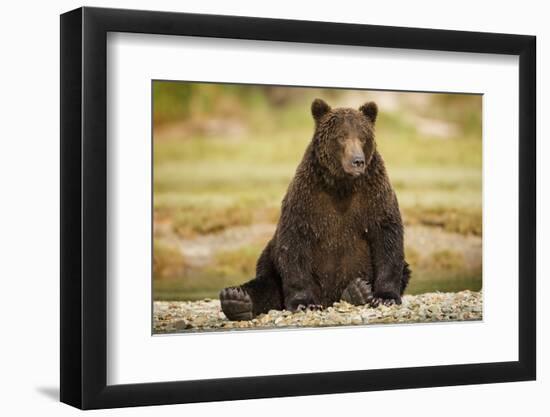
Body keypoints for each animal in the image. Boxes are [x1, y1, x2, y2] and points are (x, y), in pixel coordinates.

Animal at [220, 99, 410, 320]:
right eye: (341, 136)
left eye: (363, 137)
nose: (357, 161)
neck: (341, 185)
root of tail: (328, 299)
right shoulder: (307, 198)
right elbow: (295, 244)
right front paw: (303, 303)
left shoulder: (374, 196)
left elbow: (386, 237)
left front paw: (385, 297)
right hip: (270, 259)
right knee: (265, 285)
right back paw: (236, 299)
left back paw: (357, 291)